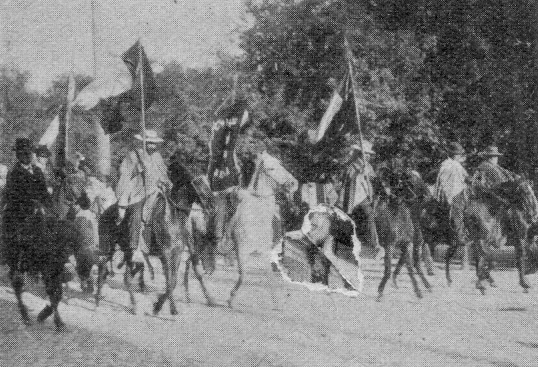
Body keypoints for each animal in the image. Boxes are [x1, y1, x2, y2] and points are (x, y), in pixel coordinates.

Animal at [372, 172, 432, 302]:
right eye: (407, 181)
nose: (427, 195)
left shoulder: (408, 244)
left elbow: (409, 267)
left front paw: (418, 291)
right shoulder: (390, 245)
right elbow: (389, 269)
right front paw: (380, 291)